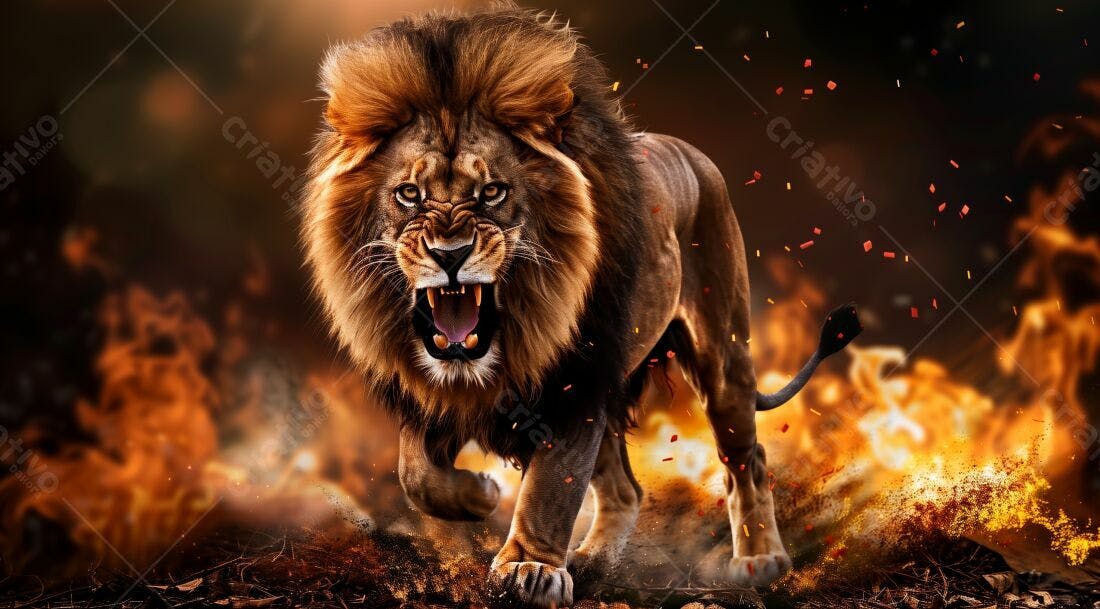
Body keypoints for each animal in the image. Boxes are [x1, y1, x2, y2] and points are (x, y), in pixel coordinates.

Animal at [300, 5, 861, 606]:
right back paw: (593, 561)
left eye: (492, 193)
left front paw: (529, 567)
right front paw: (481, 494)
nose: (450, 255)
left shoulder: (576, 385)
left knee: (745, 460)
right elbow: (416, 475)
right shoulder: (429, 392)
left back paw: (759, 559)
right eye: (409, 195)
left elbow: (550, 487)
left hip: (720, 353)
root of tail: (691, 153)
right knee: (625, 490)